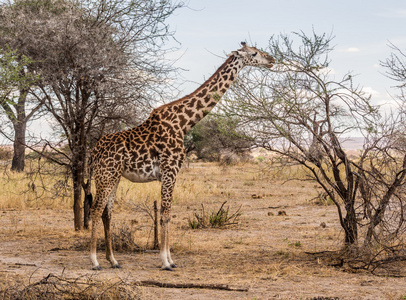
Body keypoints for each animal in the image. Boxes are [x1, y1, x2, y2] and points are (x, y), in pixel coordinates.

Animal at [87, 41, 274, 270]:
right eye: (254, 53)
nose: (272, 59)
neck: (184, 123)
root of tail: (93, 151)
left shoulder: (171, 172)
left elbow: (167, 213)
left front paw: (170, 259)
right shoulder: (170, 170)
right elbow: (166, 213)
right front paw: (166, 261)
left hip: (113, 177)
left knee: (107, 213)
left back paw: (113, 260)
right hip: (105, 176)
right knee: (96, 210)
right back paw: (95, 261)